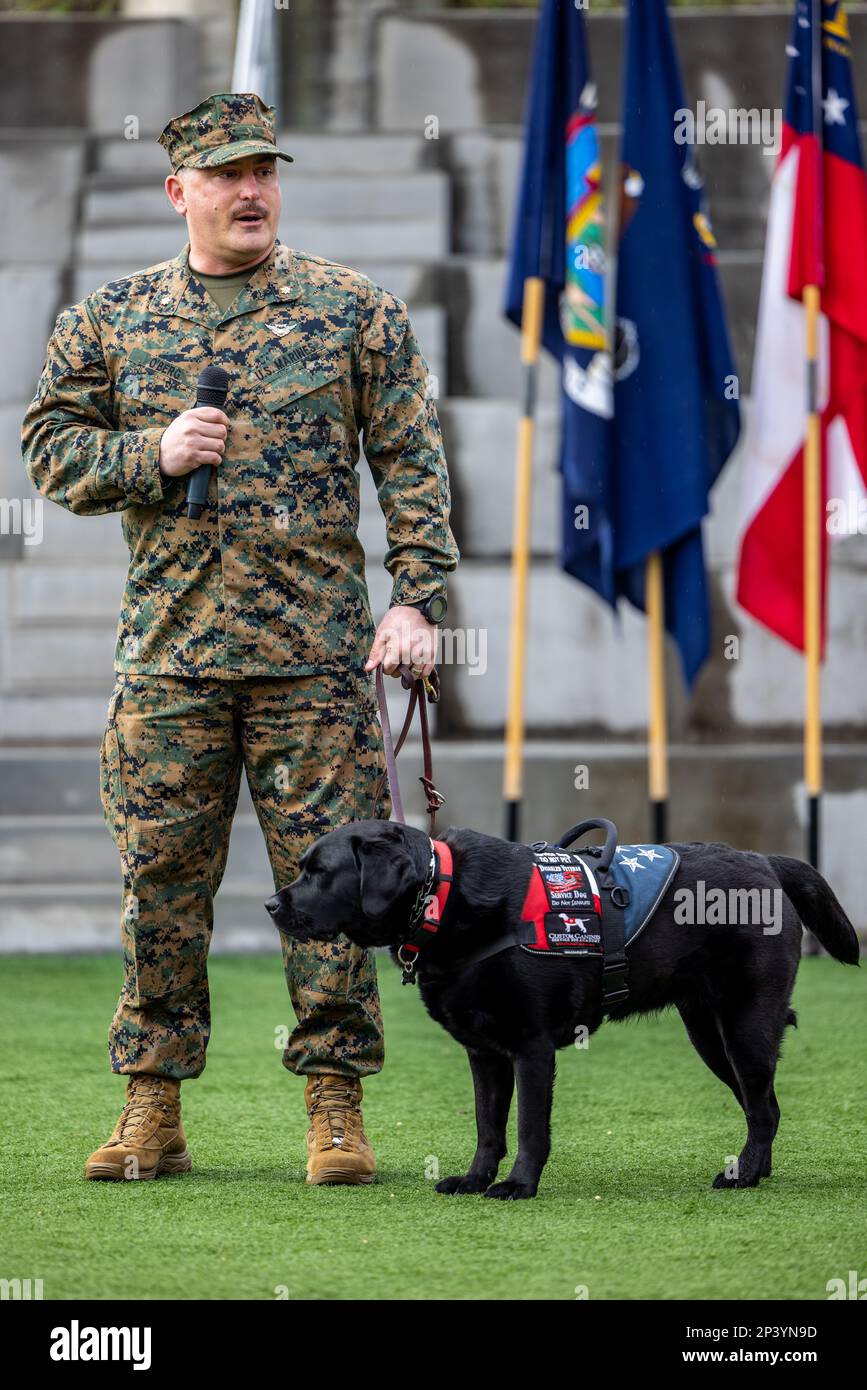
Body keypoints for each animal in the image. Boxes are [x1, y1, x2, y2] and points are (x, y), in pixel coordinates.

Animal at [265, 817, 861, 1200]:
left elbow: (530, 1128)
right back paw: (754, 1173)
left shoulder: (531, 1048)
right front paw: (475, 1181)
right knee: (765, 1107)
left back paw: (744, 1176)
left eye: (320, 873)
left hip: (744, 1024)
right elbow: (488, 1127)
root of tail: (767, 861)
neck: (442, 893)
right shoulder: (485, 1054)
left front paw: (518, 1186)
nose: (272, 904)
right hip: (709, 1032)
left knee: (763, 1108)